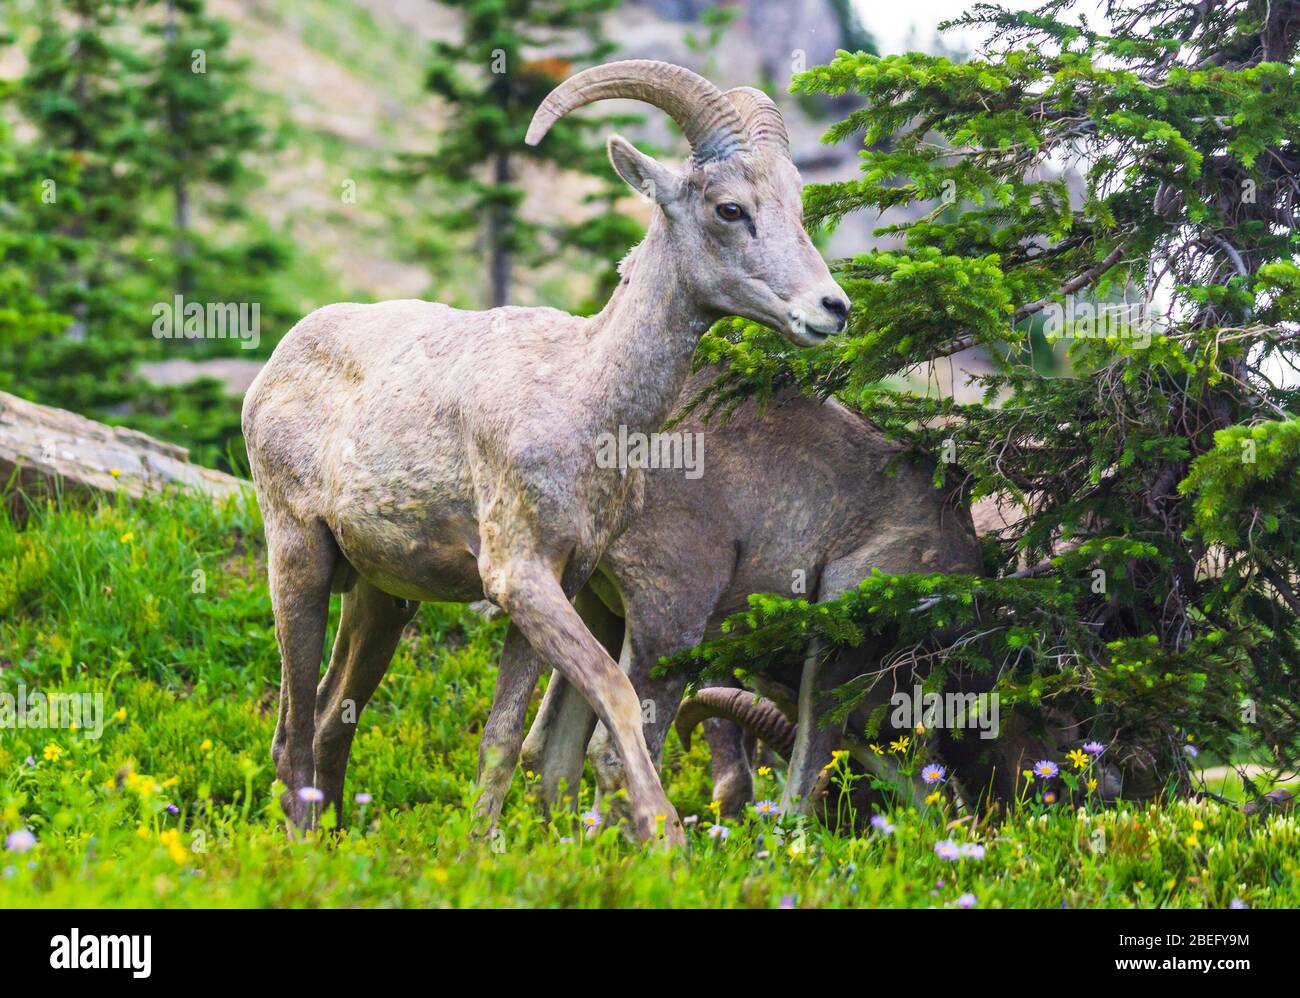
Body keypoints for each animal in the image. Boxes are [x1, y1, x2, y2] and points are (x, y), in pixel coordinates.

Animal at [241, 60, 852, 842]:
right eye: (729, 209)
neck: (585, 398)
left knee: (329, 716)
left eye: (796, 204)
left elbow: (501, 738)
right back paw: (305, 843)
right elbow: (613, 693)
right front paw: (664, 838)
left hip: (382, 597)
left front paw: (480, 848)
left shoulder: (556, 583)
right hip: (299, 559)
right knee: (291, 730)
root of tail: (275, 367)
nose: (832, 309)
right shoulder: (521, 577)